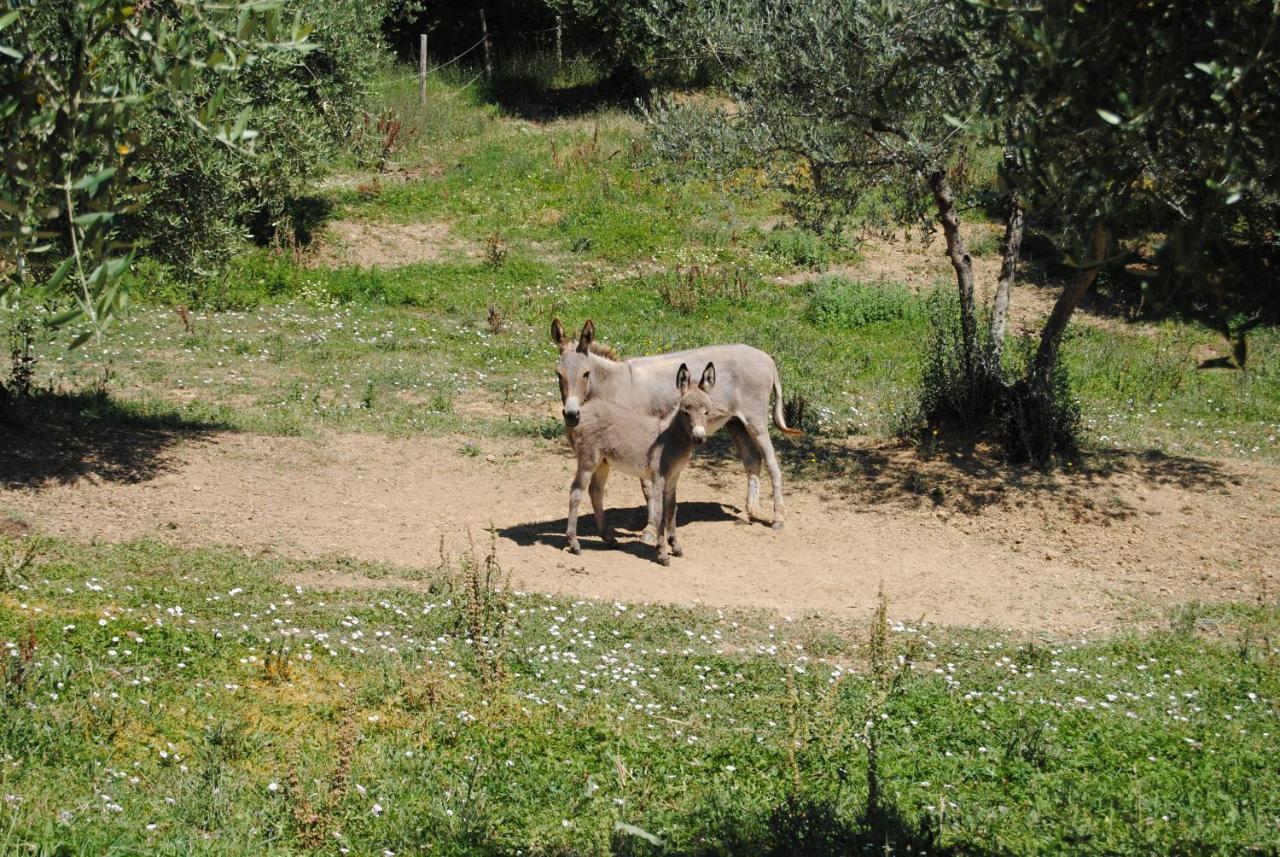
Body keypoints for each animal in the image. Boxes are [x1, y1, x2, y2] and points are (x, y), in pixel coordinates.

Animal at [565, 365, 716, 567]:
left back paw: (608, 538)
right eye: (685, 412)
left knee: (595, 491)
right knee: (576, 493)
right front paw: (662, 553)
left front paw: (675, 546)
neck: (670, 437)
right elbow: (659, 511)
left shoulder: (673, 478)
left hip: (603, 463)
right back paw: (574, 544)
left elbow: (672, 509)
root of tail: (583, 410)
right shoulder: (659, 476)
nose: (699, 438)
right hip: (588, 460)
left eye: (707, 412)